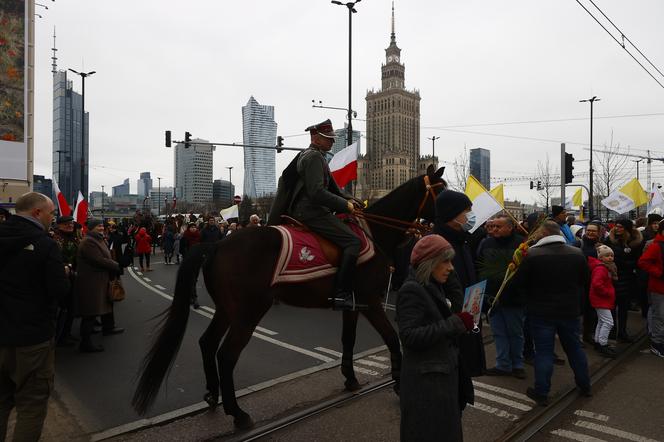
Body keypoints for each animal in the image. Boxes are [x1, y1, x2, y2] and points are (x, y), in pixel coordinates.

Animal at [132, 166, 446, 428]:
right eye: (441, 190)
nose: (453, 225)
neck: (375, 234)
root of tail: (218, 244)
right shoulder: (372, 301)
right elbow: (392, 338)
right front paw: (398, 383)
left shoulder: (353, 304)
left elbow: (349, 340)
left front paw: (351, 378)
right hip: (248, 313)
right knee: (226, 355)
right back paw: (238, 414)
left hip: (226, 309)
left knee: (207, 344)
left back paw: (212, 394)